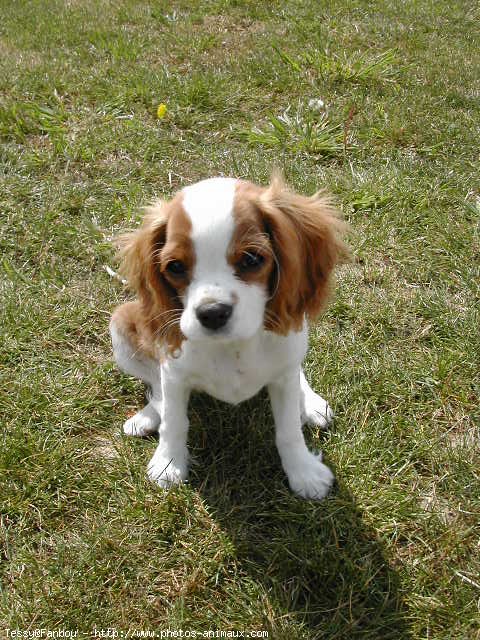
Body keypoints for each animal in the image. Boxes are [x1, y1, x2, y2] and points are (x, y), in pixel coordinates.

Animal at [110, 175, 346, 500]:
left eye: (251, 259)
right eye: (175, 266)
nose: (211, 313)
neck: (232, 346)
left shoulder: (283, 373)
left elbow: (289, 430)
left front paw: (304, 472)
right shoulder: (174, 373)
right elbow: (174, 420)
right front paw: (168, 463)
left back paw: (310, 403)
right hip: (121, 322)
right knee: (156, 389)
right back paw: (147, 417)